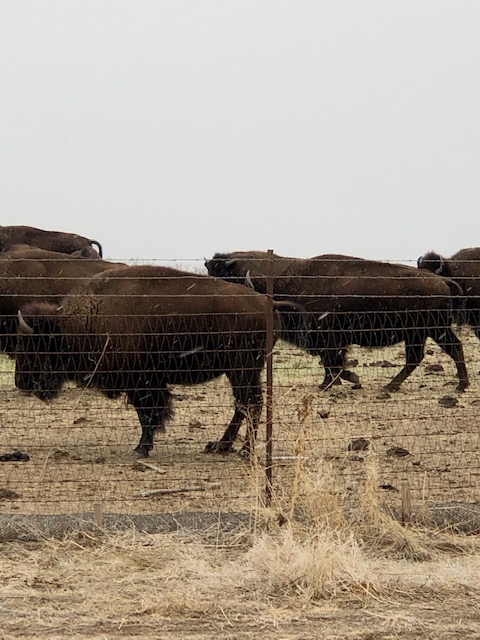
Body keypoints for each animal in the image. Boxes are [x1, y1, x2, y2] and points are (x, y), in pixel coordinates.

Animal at [15, 264, 294, 457]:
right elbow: (149, 413)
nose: (21, 382)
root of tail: (268, 304)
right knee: (244, 404)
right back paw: (220, 446)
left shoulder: (143, 382)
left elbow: (148, 414)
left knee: (250, 403)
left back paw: (244, 450)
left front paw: (141, 448)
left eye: (35, 347)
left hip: (242, 368)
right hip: (242, 370)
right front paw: (143, 446)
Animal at [206, 251, 469, 392]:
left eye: (225, 275)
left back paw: (460, 385)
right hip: (419, 334)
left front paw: (343, 381)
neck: (286, 280)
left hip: (433, 329)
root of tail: (442, 281)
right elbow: (330, 363)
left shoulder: (328, 337)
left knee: (451, 348)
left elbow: (332, 362)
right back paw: (391, 385)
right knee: (417, 357)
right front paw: (333, 382)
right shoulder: (329, 340)